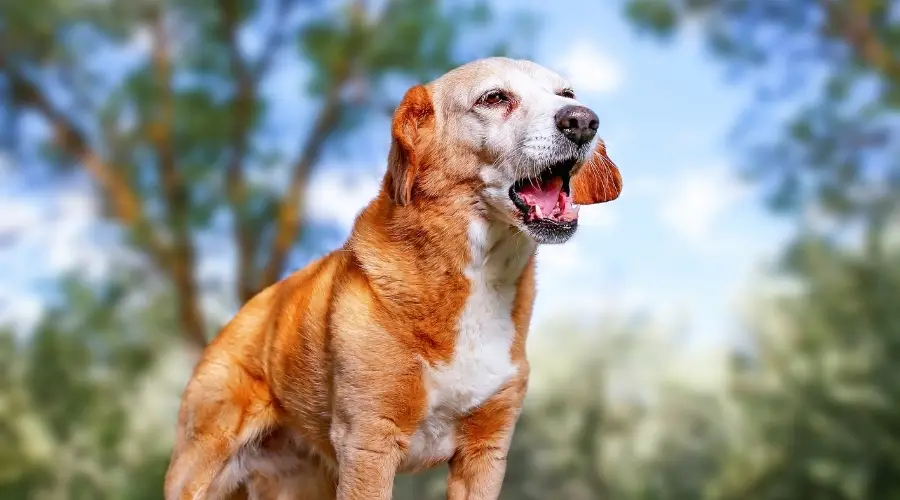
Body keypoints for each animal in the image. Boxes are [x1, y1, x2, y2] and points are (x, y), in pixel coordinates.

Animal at [165, 57, 624, 500]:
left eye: (567, 94)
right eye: (494, 98)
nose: (583, 120)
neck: (478, 277)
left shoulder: (486, 452)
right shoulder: (369, 442)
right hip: (199, 471)